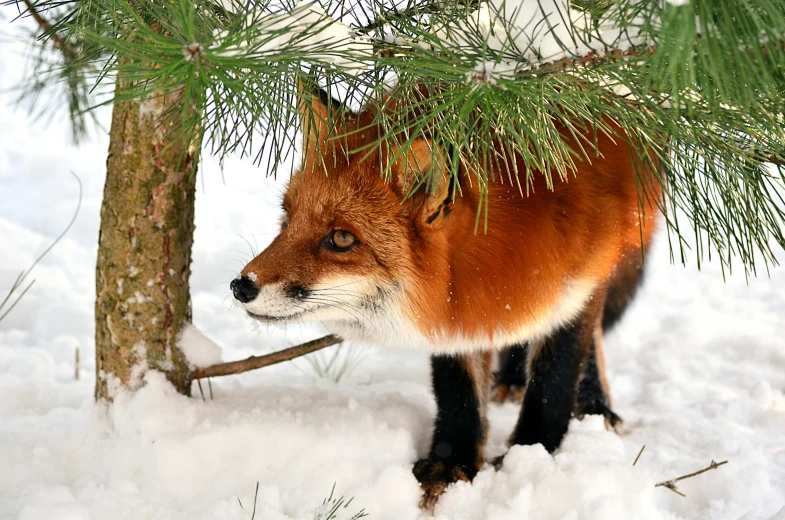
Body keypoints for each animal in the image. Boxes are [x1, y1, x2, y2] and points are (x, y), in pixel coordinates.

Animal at [230, 80, 660, 508]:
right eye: (287, 219)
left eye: (341, 239)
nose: (241, 286)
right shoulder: (456, 306)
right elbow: (459, 391)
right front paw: (451, 464)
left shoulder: (580, 276)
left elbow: (556, 378)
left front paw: (534, 453)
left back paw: (594, 407)